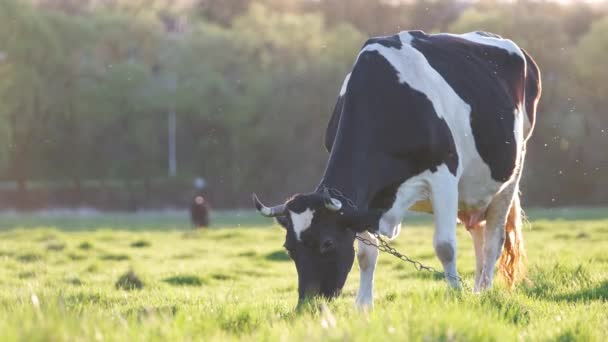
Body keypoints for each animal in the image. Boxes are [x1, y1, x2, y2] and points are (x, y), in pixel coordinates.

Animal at [252, 30, 540, 308]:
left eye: (327, 243)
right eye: (289, 248)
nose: (308, 304)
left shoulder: (444, 176)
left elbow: (445, 246)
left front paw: (456, 294)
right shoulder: (367, 200)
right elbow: (366, 253)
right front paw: (363, 306)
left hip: (512, 172)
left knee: (493, 240)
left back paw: (486, 290)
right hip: (474, 193)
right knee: (478, 233)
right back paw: (479, 291)